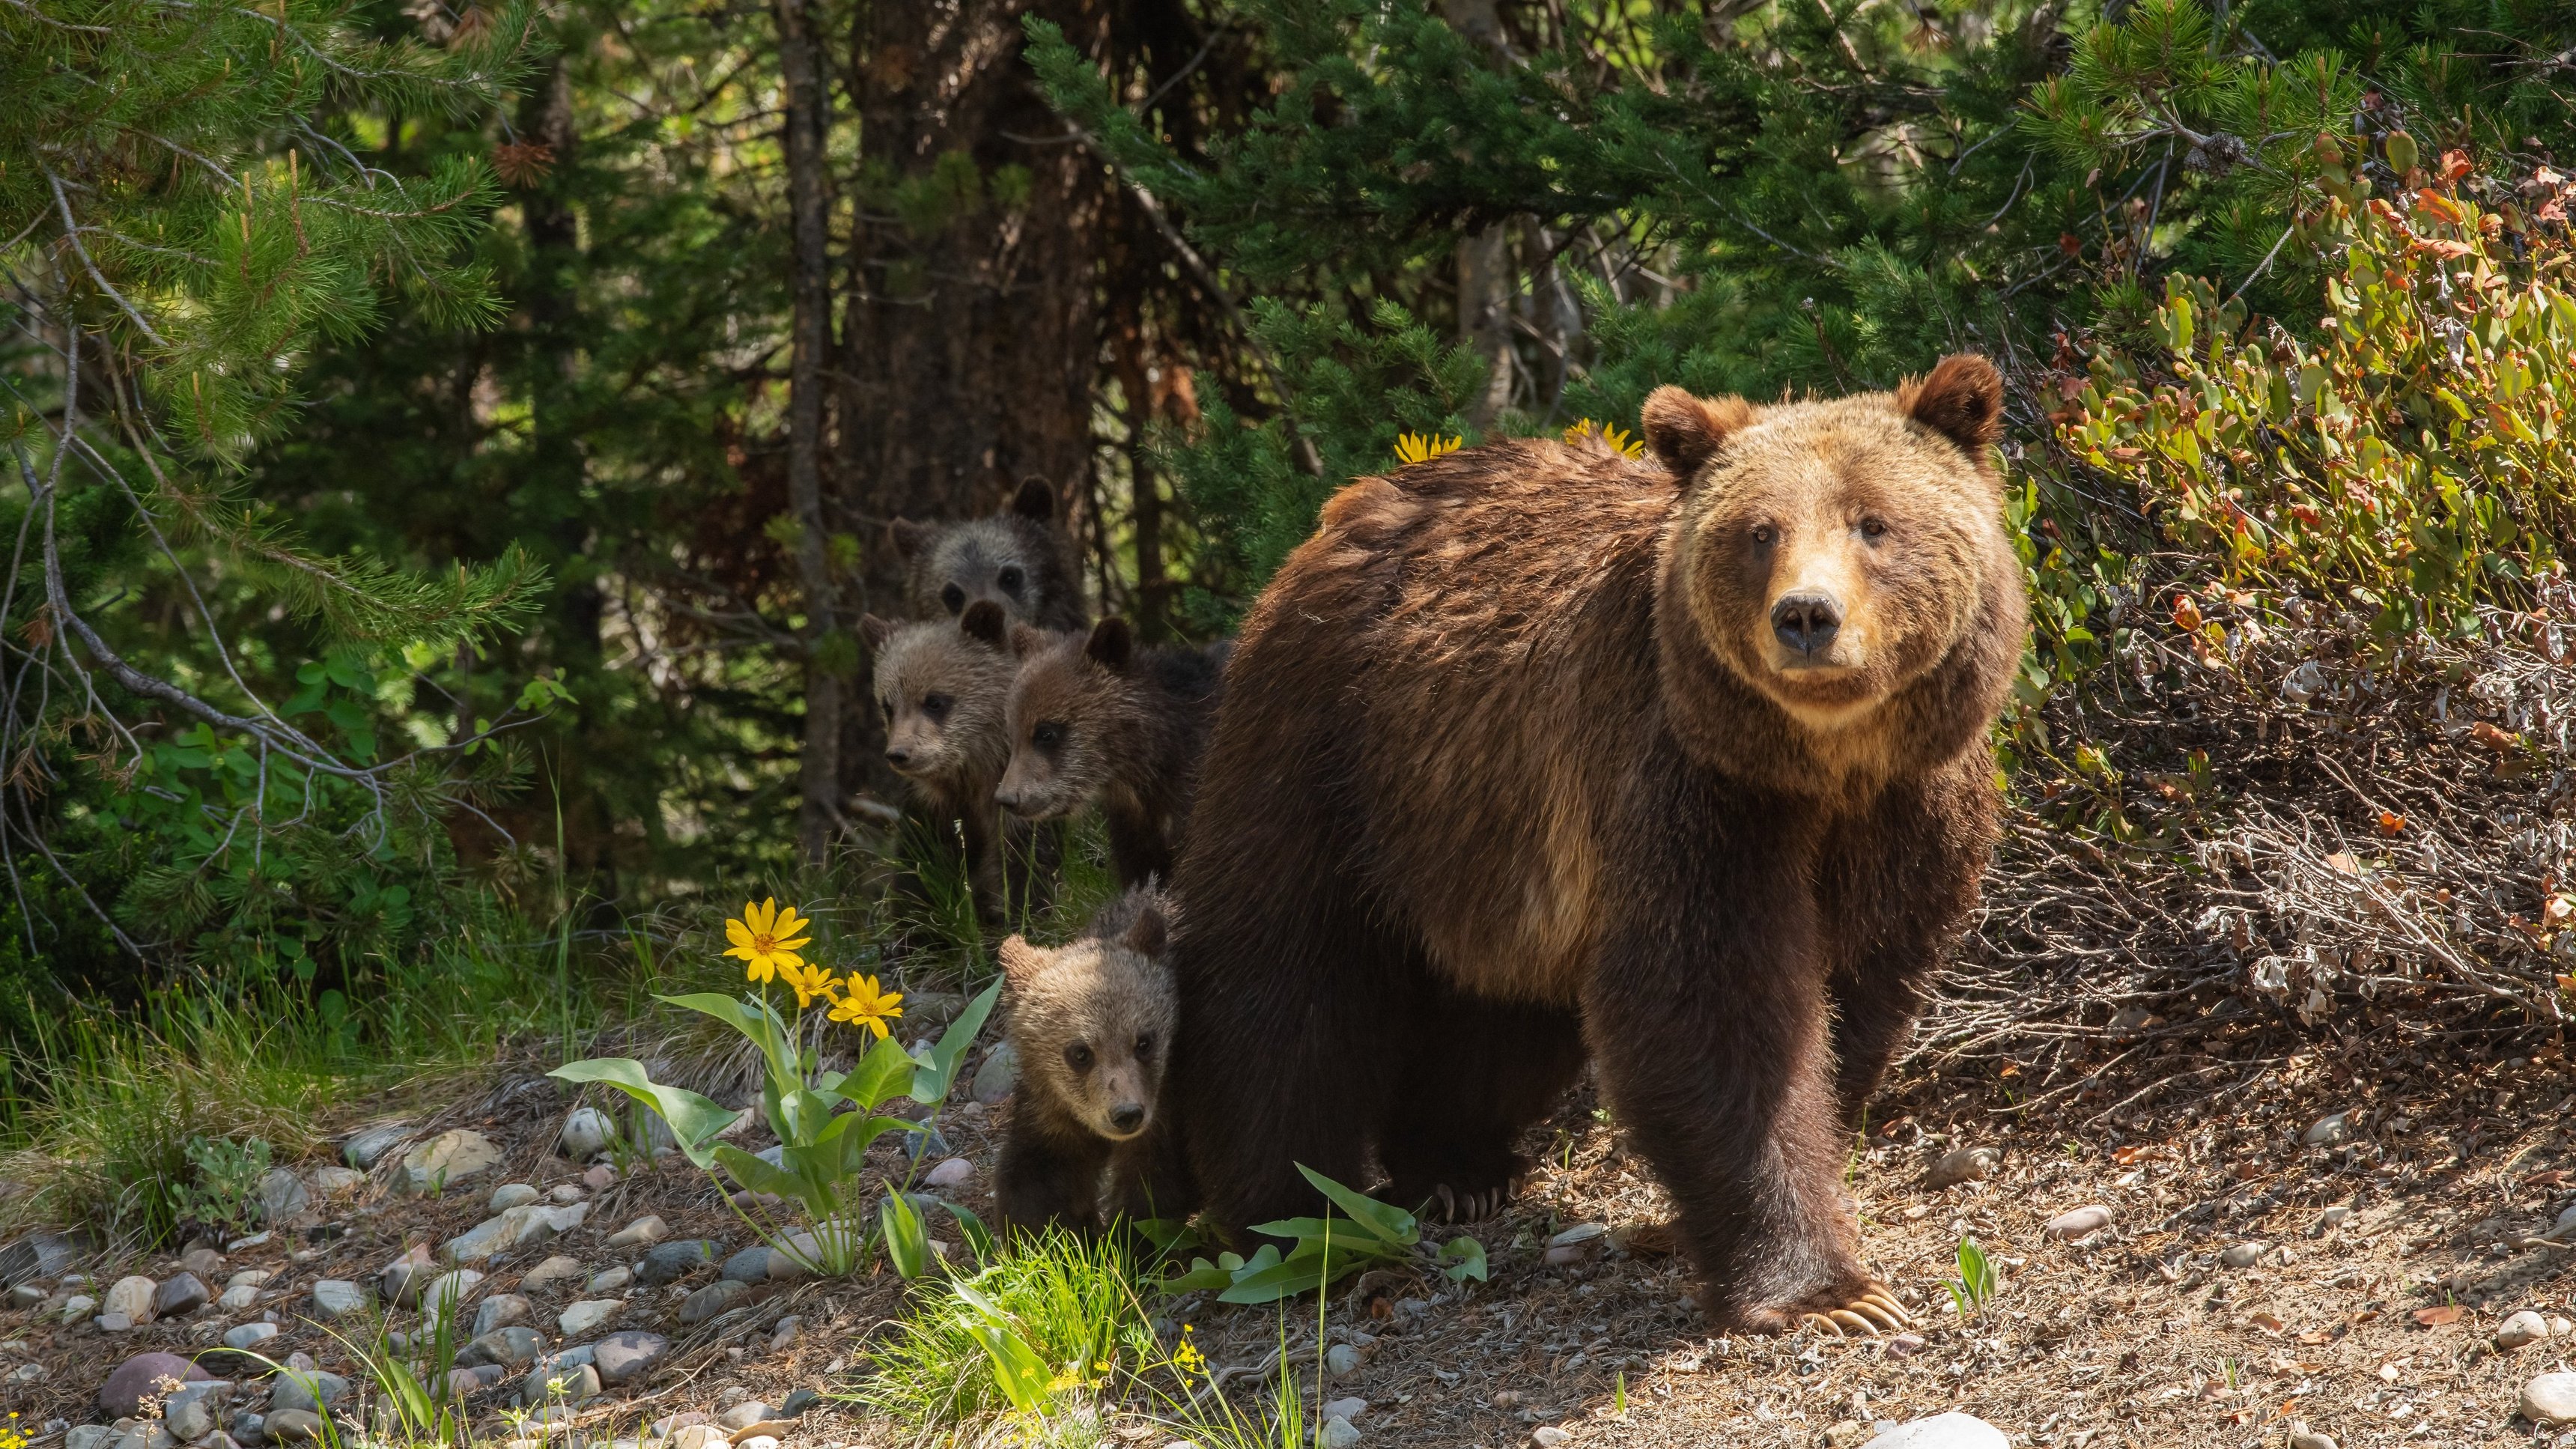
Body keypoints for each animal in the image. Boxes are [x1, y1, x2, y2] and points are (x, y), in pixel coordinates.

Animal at [861, 602, 1050, 922]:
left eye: (934, 701)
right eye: (888, 705)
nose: (900, 753)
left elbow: (1030, 873)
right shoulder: (933, 808)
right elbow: (920, 873)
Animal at [992, 884, 1194, 1234]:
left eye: (1144, 1042)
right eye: (1080, 1052)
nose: (1126, 1114)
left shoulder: (1164, 1111)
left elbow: (1152, 1191)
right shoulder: (1051, 1113)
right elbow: (1035, 1180)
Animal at [1164, 355, 2023, 1336]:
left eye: (1872, 522)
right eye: (1758, 532)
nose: (1806, 616)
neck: (1823, 764)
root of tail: (1350, 505)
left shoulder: (1907, 811)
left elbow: (1858, 991)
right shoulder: (1689, 788)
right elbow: (1711, 1004)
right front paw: (1826, 1293)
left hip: (1488, 840)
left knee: (1501, 1013)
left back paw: (1454, 1165)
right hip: (1330, 752)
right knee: (1282, 979)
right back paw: (1293, 1220)